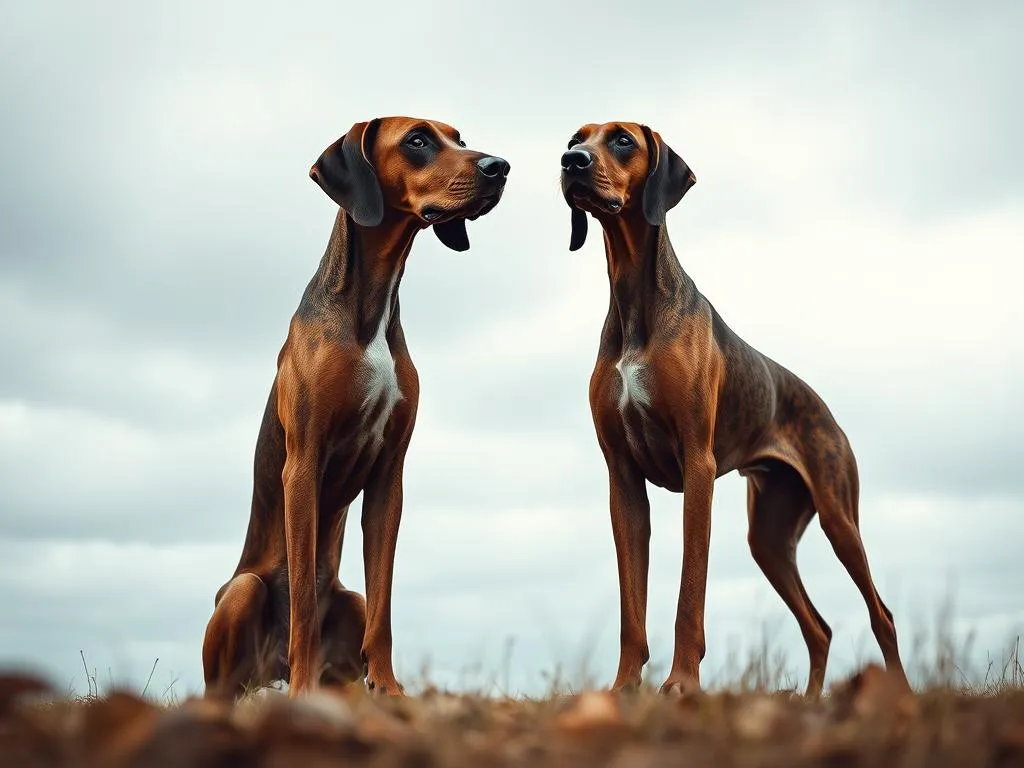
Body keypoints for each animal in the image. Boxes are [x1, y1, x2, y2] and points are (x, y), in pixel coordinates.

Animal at [203, 117, 512, 700]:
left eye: (460, 138)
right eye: (417, 140)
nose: (499, 166)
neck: (372, 307)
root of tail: (269, 670)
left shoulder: (389, 475)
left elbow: (384, 599)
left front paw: (388, 687)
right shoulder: (303, 465)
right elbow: (302, 597)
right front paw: (304, 689)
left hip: (349, 602)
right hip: (241, 593)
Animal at [565, 123, 909, 700]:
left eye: (622, 140)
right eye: (577, 138)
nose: (572, 162)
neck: (637, 301)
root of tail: (826, 409)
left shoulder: (697, 468)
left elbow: (690, 594)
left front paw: (682, 683)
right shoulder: (623, 480)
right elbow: (631, 608)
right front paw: (624, 687)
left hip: (839, 517)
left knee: (881, 614)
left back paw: (900, 694)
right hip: (767, 538)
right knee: (819, 628)